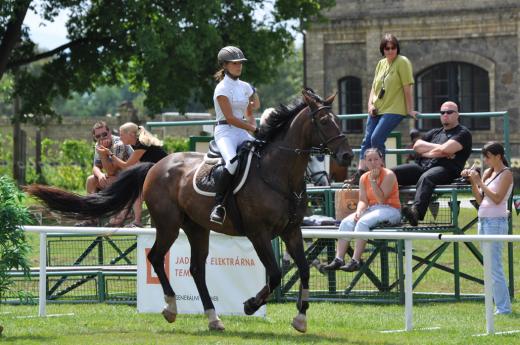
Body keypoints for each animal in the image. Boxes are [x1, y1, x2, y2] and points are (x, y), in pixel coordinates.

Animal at [27, 90, 354, 332]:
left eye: (339, 120)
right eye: (323, 120)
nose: (347, 156)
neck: (278, 175)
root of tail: (155, 165)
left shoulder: (291, 230)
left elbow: (303, 269)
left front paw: (300, 318)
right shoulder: (259, 233)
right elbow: (274, 275)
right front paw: (250, 305)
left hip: (197, 227)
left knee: (197, 269)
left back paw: (213, 318)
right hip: (169, 224)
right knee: (156, 258)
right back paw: (171, 308)